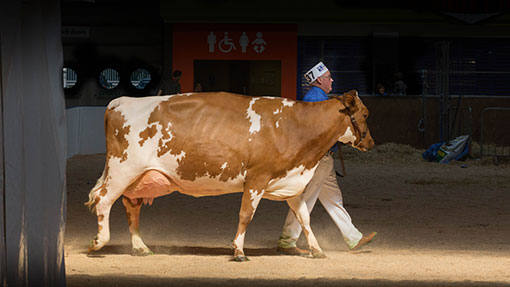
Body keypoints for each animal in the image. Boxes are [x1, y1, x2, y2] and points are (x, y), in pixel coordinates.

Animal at [84, 91, 374, 262]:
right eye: (366, 114)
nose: (370, 142)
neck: (296, 126)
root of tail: (122, 100)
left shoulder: (290, 182)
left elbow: (304, 218)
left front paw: (317, 249)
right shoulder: (257, 178)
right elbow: (246, 215)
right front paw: (238, 251)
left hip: (137, 179)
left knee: (131, 207)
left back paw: (140, 247)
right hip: (122, 169)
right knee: (103, 200)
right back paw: (98, 242)